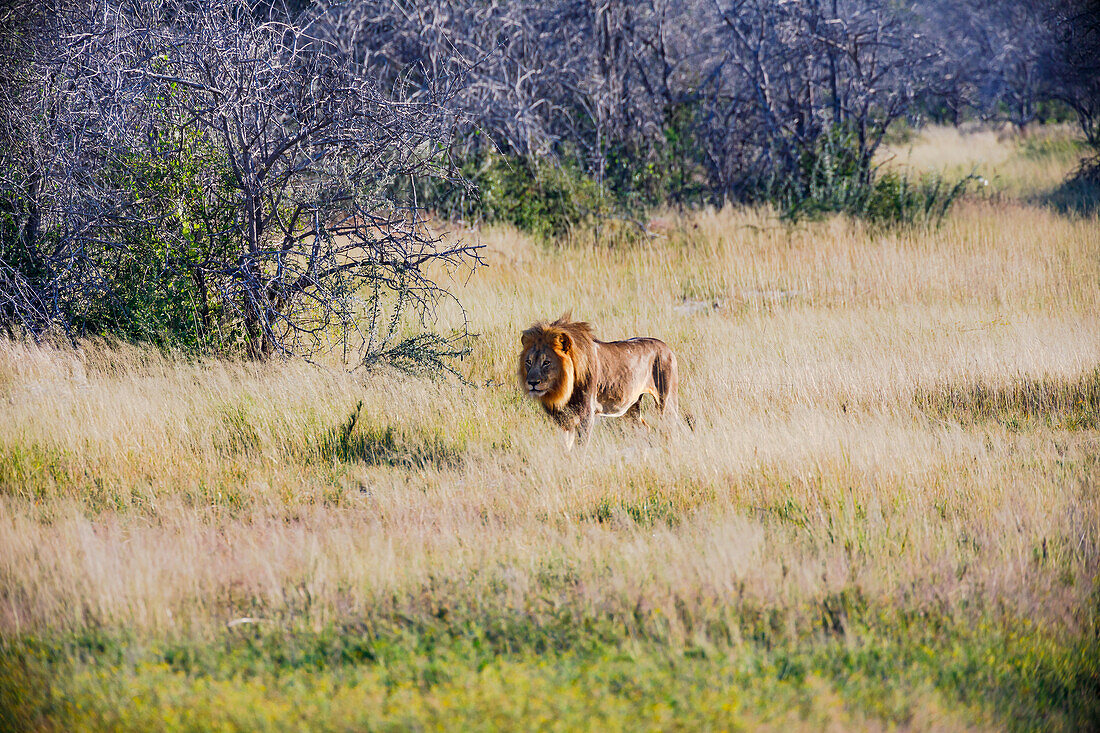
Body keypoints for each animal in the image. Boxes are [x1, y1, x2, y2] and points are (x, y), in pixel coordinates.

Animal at [514, 310, 677, 442]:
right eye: (528, 362)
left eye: (546, 362)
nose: (532, 382)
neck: (562, 388)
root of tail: (666, 347)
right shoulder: (562, 419)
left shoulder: (586, 414)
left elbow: (580, 446)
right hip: (632, 406)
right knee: (643, 428)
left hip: (665, 401)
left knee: (672, 427)